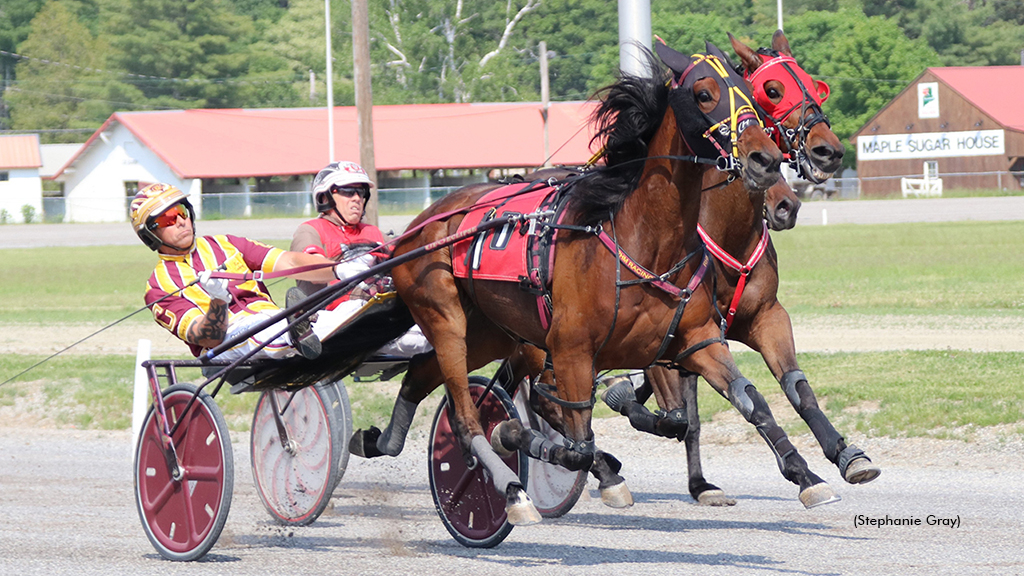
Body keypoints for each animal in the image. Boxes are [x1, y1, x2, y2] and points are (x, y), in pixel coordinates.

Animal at [354, 41, 839, 524]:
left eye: (753, 94)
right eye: (769, 90)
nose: (772, 165)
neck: (645, 238)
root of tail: (417, 228)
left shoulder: (717, 331)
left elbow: (757, 397)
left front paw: (820, 468)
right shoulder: (578, 348)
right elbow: (589, 440)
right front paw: (526, 433)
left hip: (494, 331)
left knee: (424, 374)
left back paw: (380, 439)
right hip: (452, 320)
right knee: (474, 411)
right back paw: (514, 486)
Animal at [598, 31, 880, 504]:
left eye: (813, 83)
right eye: (771, 90)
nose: (828, 150)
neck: (725, 232)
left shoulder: (764, 317)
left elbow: (796, 387)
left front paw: (846, 454)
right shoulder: (670, 334)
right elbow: (679, 413)